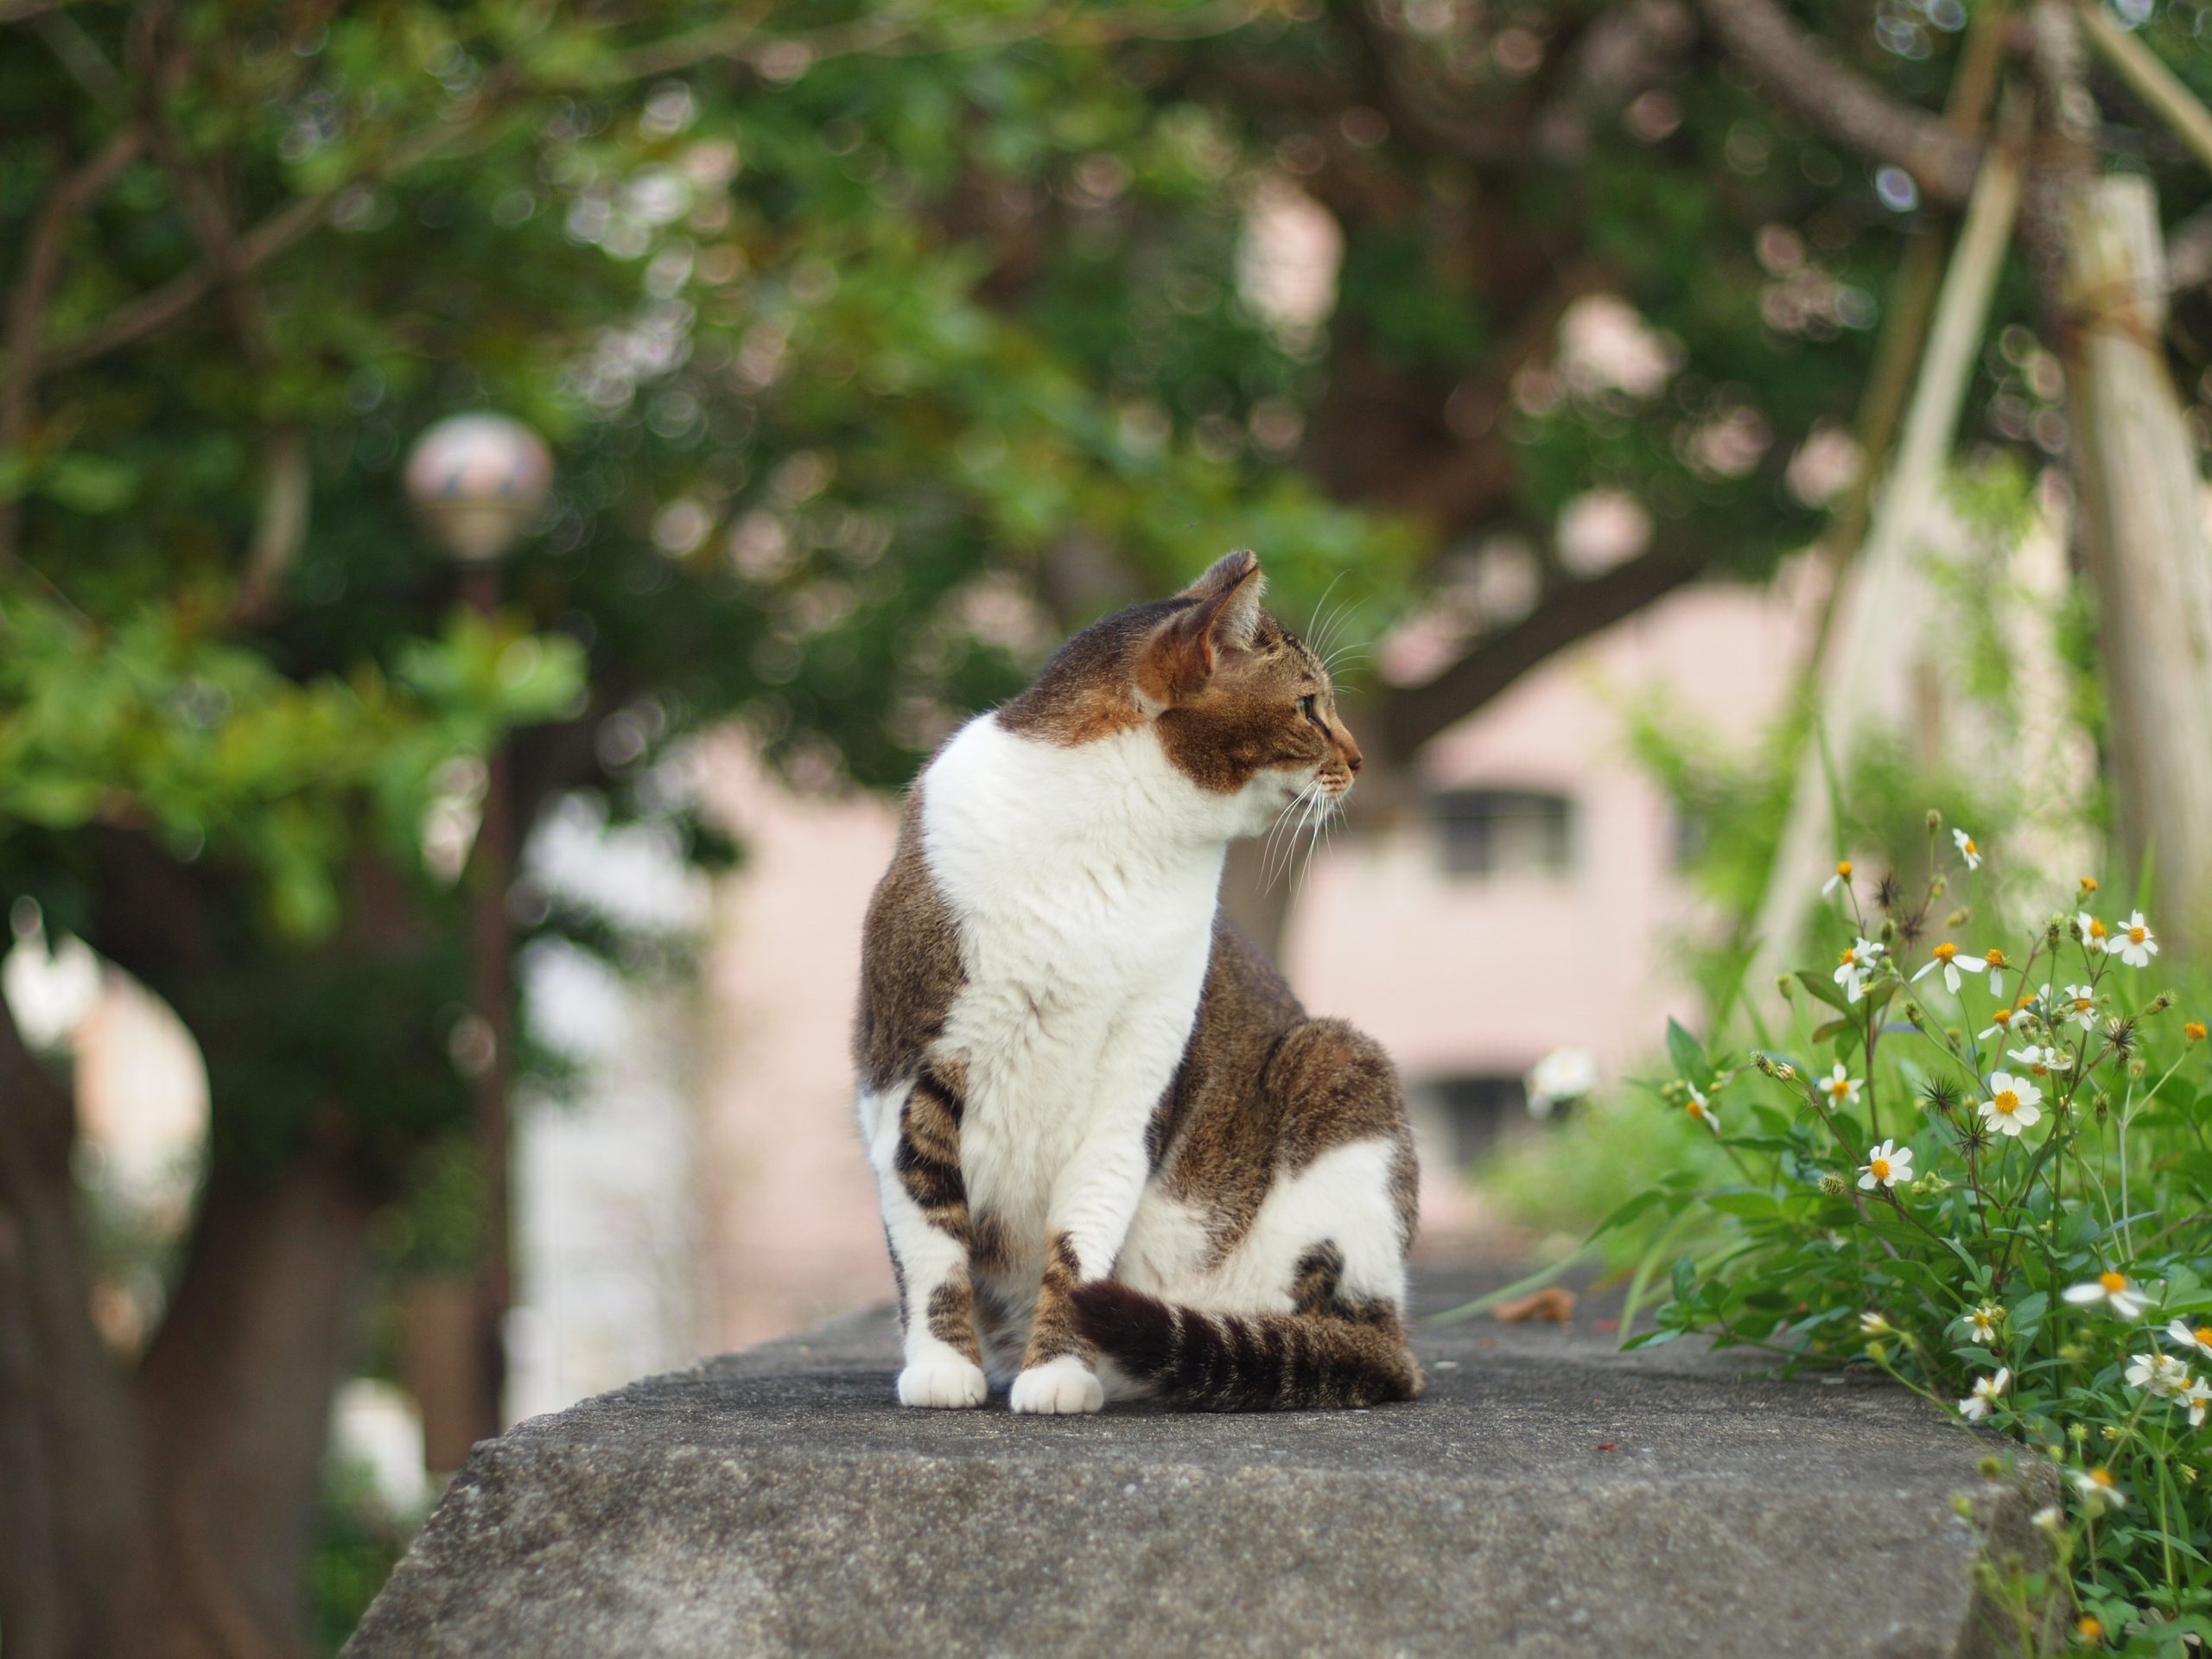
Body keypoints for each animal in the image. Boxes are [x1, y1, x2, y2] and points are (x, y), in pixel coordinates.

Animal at [844, 548, 1415, 1415]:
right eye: (1308, 706)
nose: (1358, 759)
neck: (1118, 838)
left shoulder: (1133, 1084)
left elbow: (1082, 1234)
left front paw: (1057, 1370)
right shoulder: (904, 1071)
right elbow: (927, 1228)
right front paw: (944, 1368)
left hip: (1337, 1058)